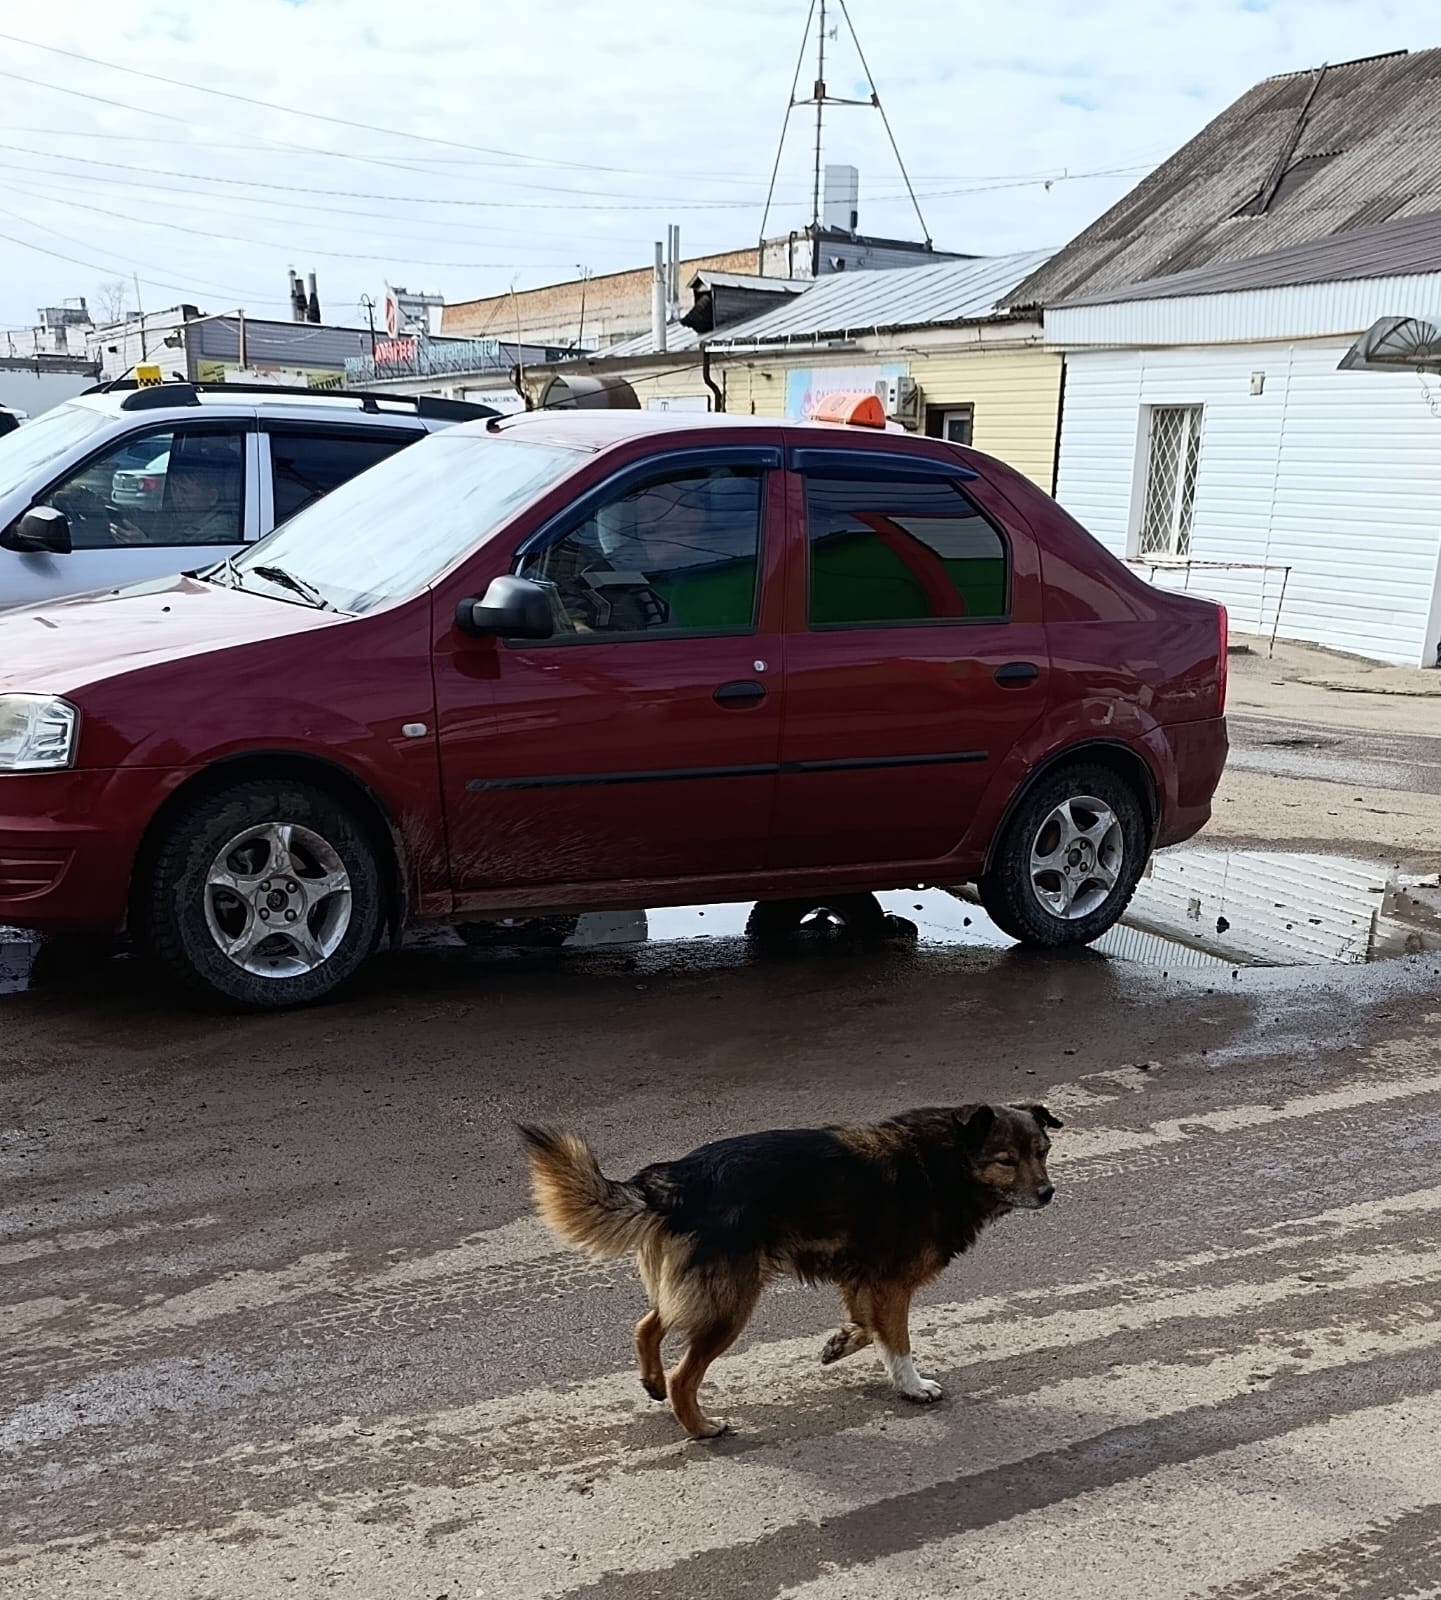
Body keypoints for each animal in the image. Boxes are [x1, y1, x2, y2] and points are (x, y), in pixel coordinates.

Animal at [519, 1102, 1061, 1438]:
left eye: (1043, 1153)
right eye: (1006, 1159)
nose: (1048, 1193)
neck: (945, 1160)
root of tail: (679, 1180)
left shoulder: (862, 1277)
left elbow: (868, 1327)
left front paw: (839, 1343)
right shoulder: (890, 1284)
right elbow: (897, 1342)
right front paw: (912, 1386)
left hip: (702, 1292)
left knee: (647, 1325)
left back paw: (652, 1382)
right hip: (729, 1305)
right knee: (682, 1376)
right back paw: (701, 1427)